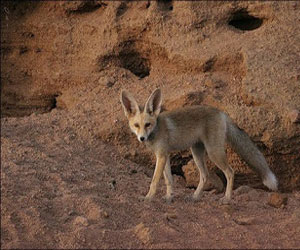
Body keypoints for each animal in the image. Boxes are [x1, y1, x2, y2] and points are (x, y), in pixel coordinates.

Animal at [119, 89, 276, 204]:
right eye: (136, 125)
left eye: (148, 124)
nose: (142, 138)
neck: (156, 131)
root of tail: (221, 112)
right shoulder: (164, 155)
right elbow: (169, 180)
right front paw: (169, 197)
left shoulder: (162, 155)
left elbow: (154, 181)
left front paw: (148, 198)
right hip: (196, 152)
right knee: (205, 175)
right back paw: (196, 196)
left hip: (213, 153)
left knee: (230, 172)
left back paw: (226, 199)